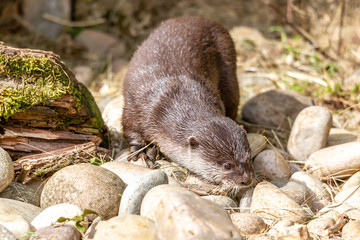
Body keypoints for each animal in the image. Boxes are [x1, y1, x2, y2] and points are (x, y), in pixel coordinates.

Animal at [122, 15, 252, 192]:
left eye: (250, 158)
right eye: (227, 165)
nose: (246, 180)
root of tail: (201, 18)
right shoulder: (137, 105)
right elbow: (130, 129)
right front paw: (138, 153)